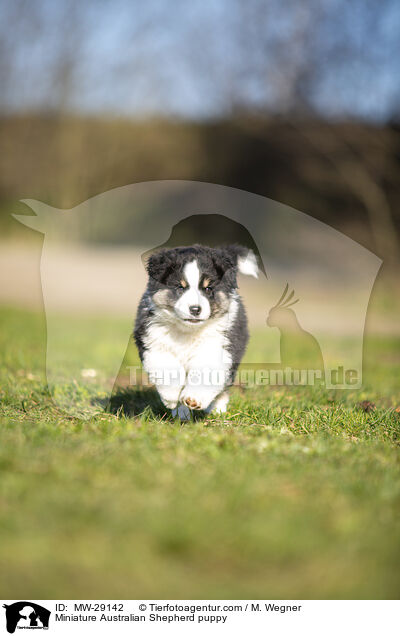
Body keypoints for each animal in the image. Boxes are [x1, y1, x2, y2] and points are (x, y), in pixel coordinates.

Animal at [134, 243, 260, 418]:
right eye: (180, 287)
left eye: (208, 289)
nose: (195, 309)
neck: (188, 331)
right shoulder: (153, 340)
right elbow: (166, 366)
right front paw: (172, 397)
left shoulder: (217, 347)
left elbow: (205, 373)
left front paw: (193, 399)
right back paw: (181, 414)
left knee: (223, 389)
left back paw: (217, 410)